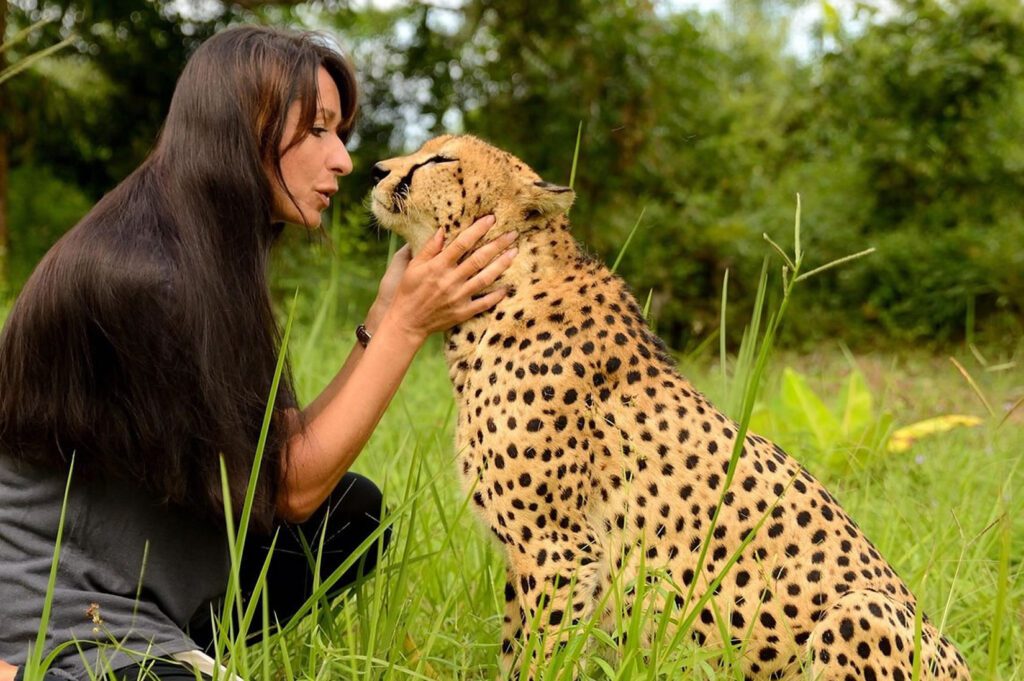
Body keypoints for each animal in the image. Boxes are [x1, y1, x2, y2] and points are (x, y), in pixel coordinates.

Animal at [370, 134, 971, 680]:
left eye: (440, 159)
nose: (376, 168)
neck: (505, 293)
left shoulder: (558, 547)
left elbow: (543, 654)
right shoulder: (540, 556)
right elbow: (518, 649)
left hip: (861, 607)